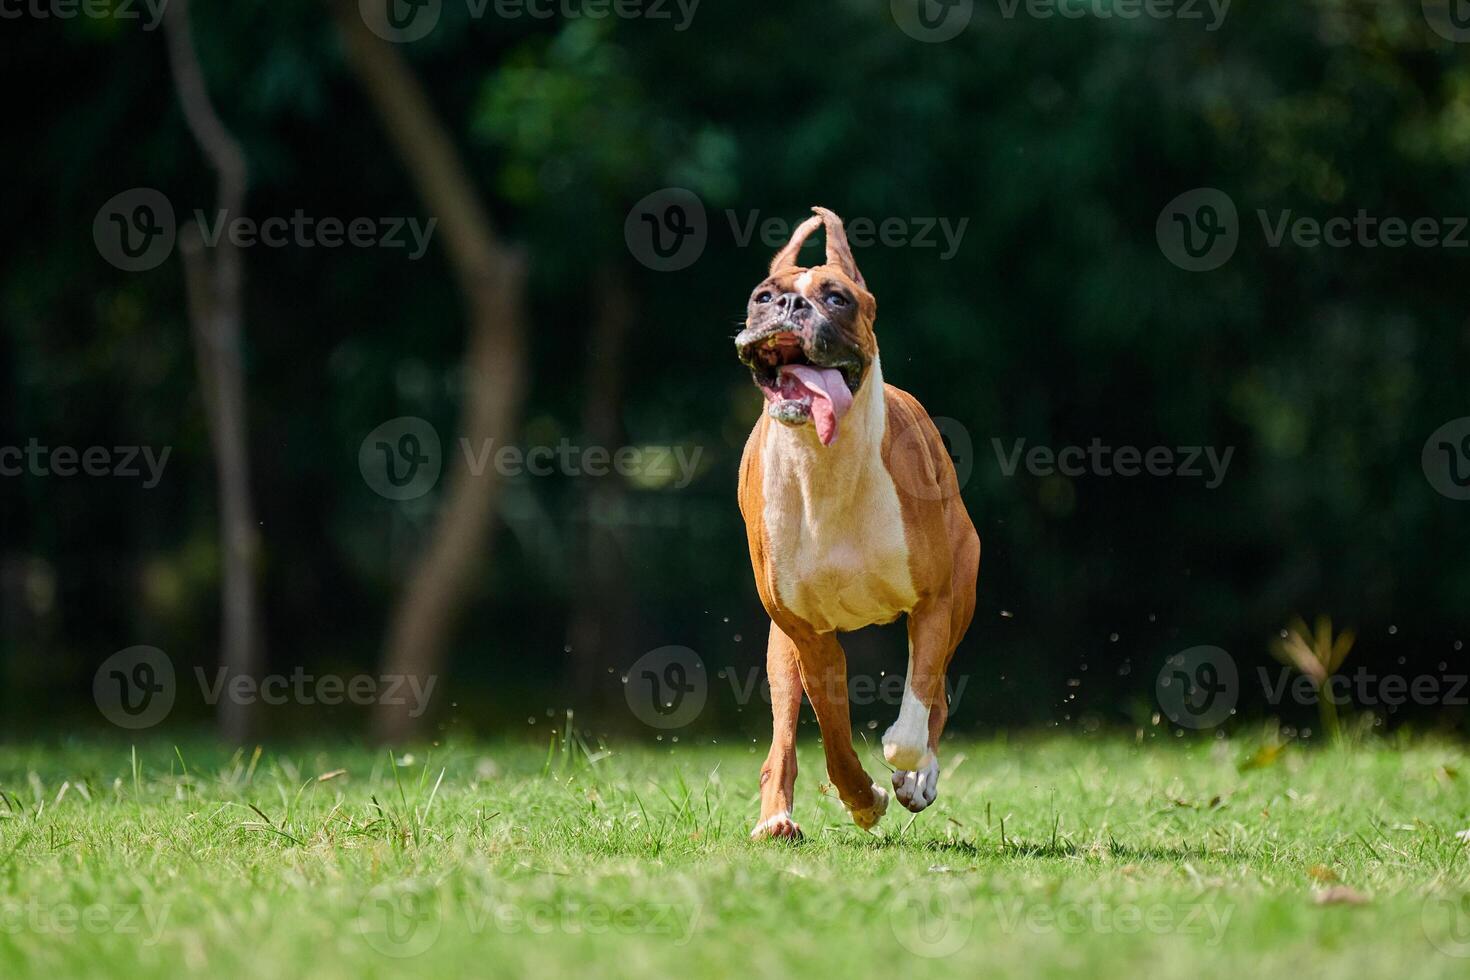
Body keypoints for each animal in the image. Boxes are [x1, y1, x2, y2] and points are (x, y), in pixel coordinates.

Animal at [740, 208, 981, 846]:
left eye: (836, 297)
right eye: (763, 297)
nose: (790, 306)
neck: (824, 466)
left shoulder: (935, 602)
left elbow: (912, 719)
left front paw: (907, 772)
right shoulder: (808, 636)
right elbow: (833, 734)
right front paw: (861, 797)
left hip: (962, 594)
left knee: (936, 700)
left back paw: (919, 779)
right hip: (780, 647)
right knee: (783, 737)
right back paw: (776, 818)